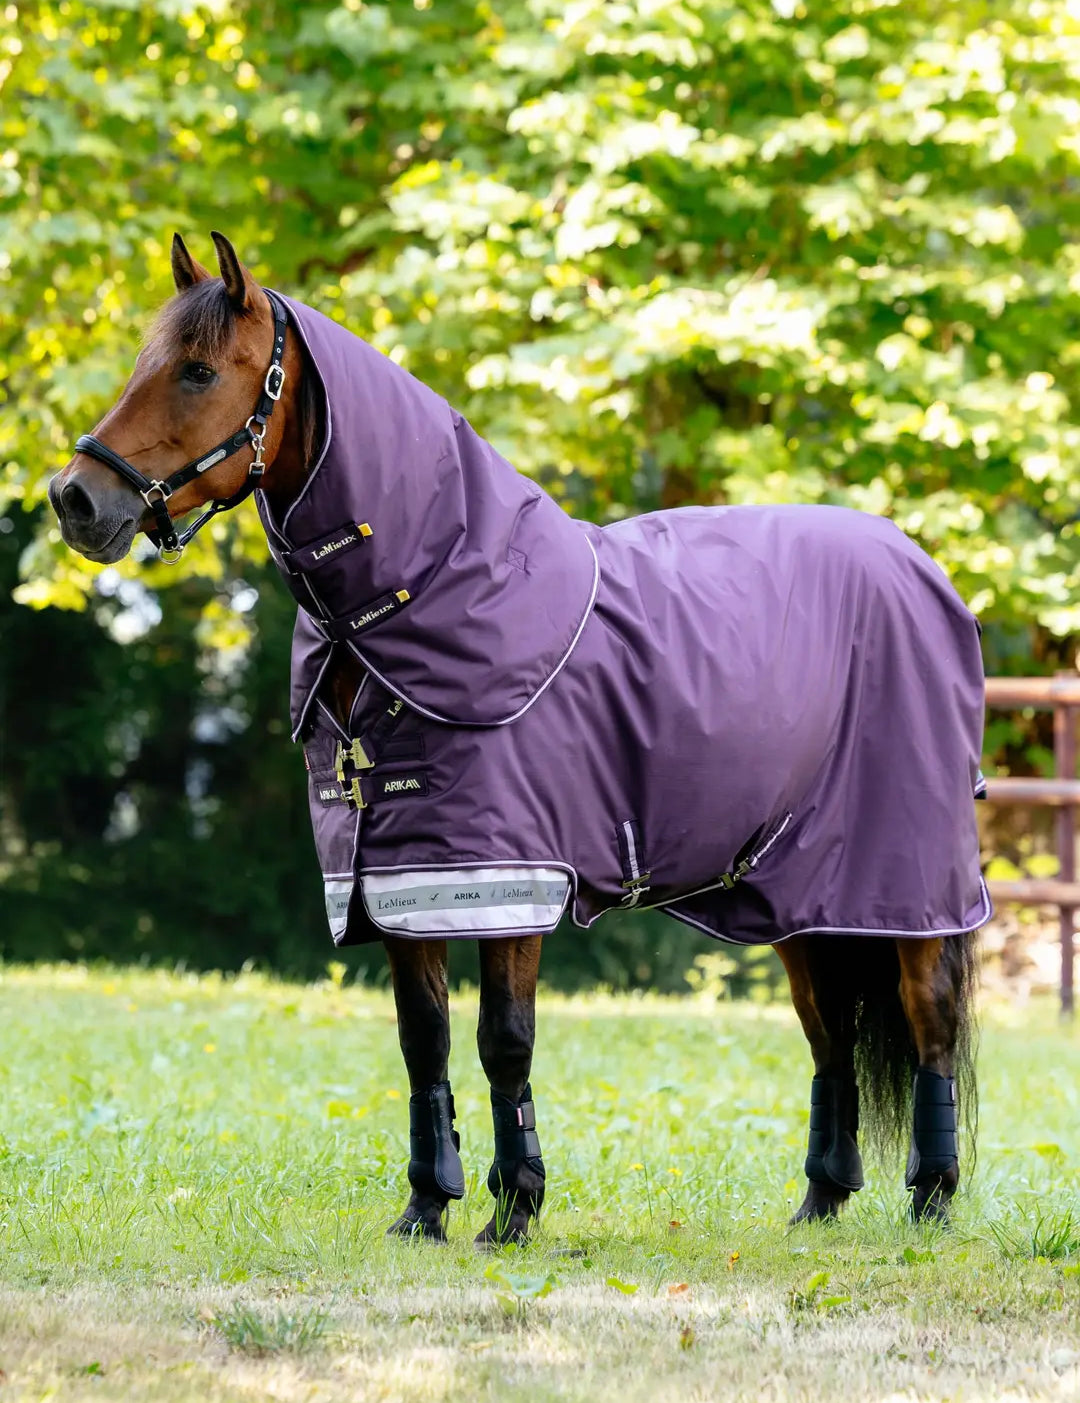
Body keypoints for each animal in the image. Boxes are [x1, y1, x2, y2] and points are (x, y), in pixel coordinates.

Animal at [49, 232, 985, 1244]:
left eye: (196, 370)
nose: (75, 499)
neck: (431, 593)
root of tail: (920, 566)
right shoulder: (396, 881)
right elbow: (424, 1043)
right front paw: (426, 1205)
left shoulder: (510, 878)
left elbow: (504, 1038)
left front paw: (515, 1207)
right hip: (796, 892)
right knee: (829, 1031)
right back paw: (820, 1199)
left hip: (909, 881)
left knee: (927, 1014)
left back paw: (932, 1195)